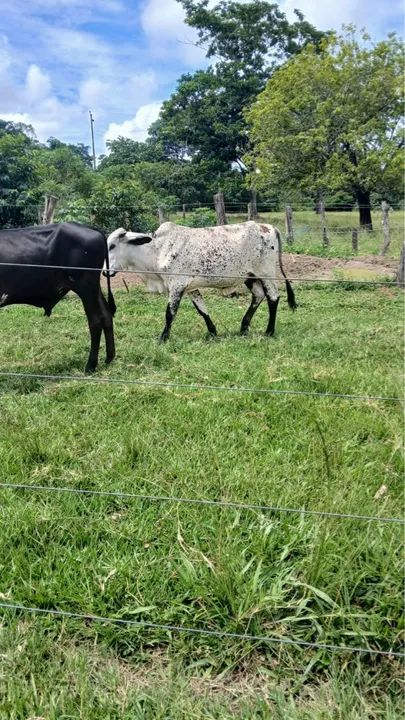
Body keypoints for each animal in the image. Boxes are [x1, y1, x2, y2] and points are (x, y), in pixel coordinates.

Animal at [0, 222, 116, 372]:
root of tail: (90, 228)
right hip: (93, 288)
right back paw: (109, 357)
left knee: (95, 321)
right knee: (106, 314)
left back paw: (90, 365)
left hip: (86, 286)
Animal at [105, 221, 296, 342]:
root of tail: (269, 227)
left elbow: (170, 313)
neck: (157, 250)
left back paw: (269, 331)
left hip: (266, 273)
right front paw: (213, 332)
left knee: (273, 297)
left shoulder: (176, 286)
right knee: (258, 296)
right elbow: (202, 310)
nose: (105, 271)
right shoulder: (190, 288)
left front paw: (163, 338)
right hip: (249, 276)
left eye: (112, 246)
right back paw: (243, 328)